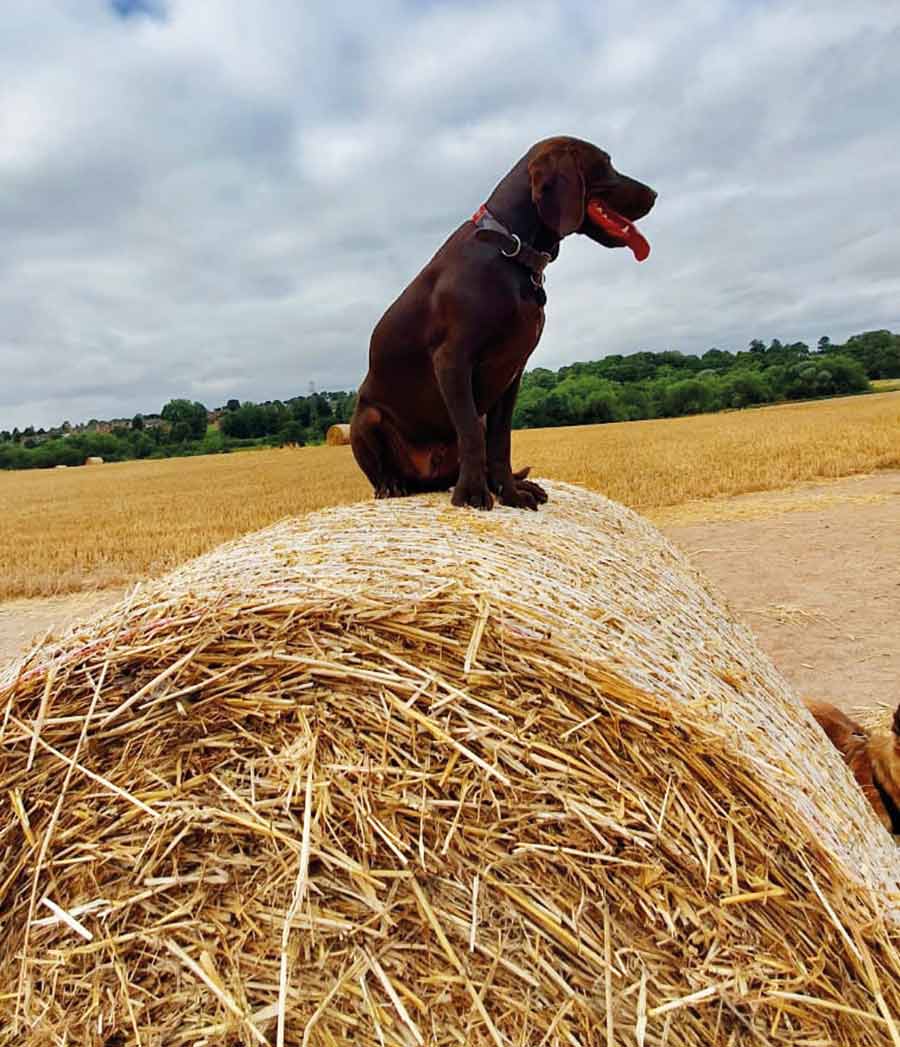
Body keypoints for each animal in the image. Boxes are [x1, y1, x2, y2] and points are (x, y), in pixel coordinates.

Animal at [349, 135, 653, 510]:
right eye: (606, 163)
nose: (654, 194)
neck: (511, 250)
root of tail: (427, 478)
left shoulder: (512, 372)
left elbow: (499, 444)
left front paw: (510, 494)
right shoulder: (452, 360)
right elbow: (470, 436)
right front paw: (472, 495)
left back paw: (520, 485)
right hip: (365, 419)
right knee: (388, 469)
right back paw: (393, 486)